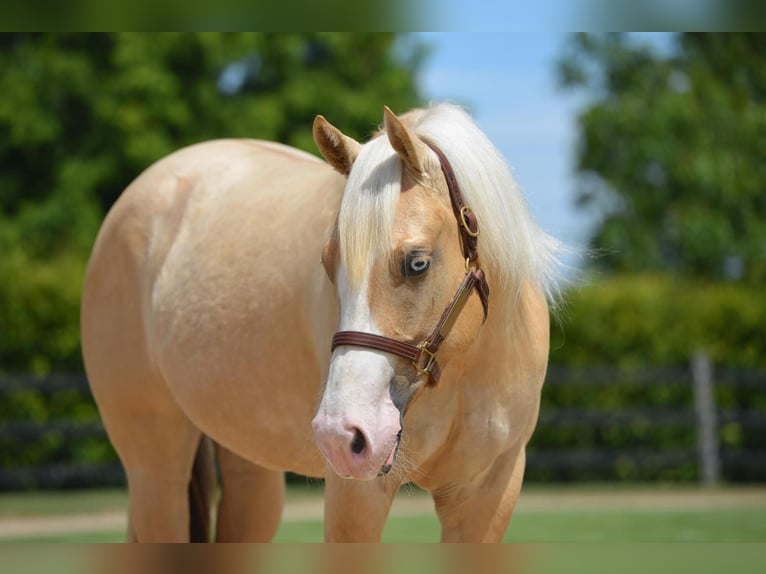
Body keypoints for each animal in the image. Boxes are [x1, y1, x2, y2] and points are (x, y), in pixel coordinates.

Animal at [81, 103, 562, 542]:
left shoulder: (487, 494)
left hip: (250, 473)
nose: (341, 434)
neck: (463, 371)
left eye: (417, 262)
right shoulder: (357, 495)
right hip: (156, 472)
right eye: (329, 264)